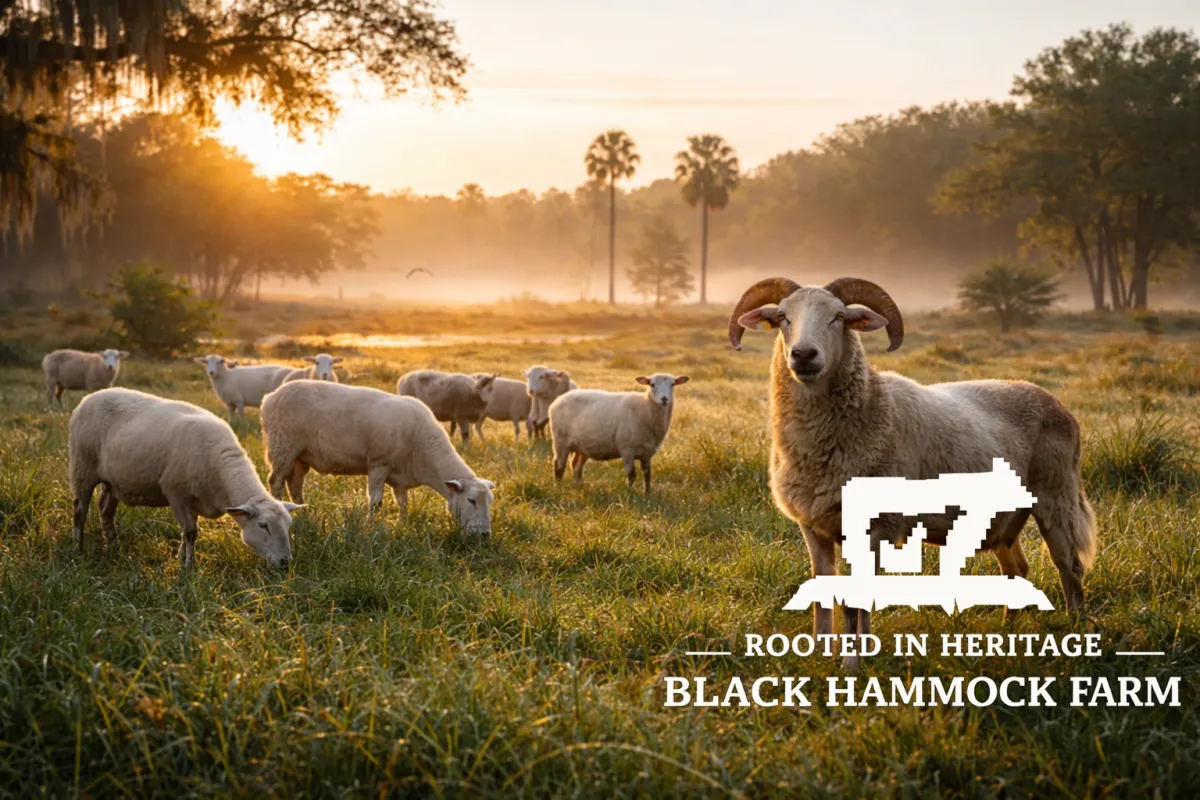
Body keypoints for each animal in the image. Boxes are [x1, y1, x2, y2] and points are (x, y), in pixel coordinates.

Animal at [68, 387, 303, 567]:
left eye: (288, 525)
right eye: (263, 526)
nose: (285, 562)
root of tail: (88, 398)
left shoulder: (196, 499)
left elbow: (186, 532)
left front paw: (181, 558)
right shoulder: (176, 494)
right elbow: (190, 532)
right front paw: (189, 566)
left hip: (113, 481)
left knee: (105, 511)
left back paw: (113, 545)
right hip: (82, 467)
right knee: (80, 510)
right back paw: (78, 548)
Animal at [260, 381, 496, 535]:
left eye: (490, 502)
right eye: (471, 500)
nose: (485, 535)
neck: (423, 447)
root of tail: (269, 397)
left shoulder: (400, 477)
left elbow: (403, 503)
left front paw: (402, 525)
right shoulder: (379, 464)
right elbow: (375, 502)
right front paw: (370, 527)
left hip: (301, 457)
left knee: (295, 487)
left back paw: (303, 516)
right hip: (283, 447)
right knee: (276, 482)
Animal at [550, 373, 689, 493]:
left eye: (672, 384)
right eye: (652, 384)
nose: (664, 399)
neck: (645, 408)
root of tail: (559, 399)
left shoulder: (647, 453)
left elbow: (647, 474)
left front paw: (647, 493)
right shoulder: (626, 449)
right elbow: (632, 474)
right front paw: (631, 494)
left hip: (583, 445)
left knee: (576, 466)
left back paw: (580, 487)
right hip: (560, 440)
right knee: (559, 466)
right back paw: (558, 488)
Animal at [728, 275, 1097, 657]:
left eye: (839, 317)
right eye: (782, 317)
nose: (803, 355)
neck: (872, 407)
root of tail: (1054, 401)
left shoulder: (880, 526)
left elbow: (859, 598)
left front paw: (857, 659)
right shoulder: (813, 526)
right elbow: (822, 595)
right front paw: (819, 653)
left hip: (1056, 494)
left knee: (1069, 567)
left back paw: (1076, 632)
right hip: (1003, 519)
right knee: (1017, 569)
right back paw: (1006, 634)